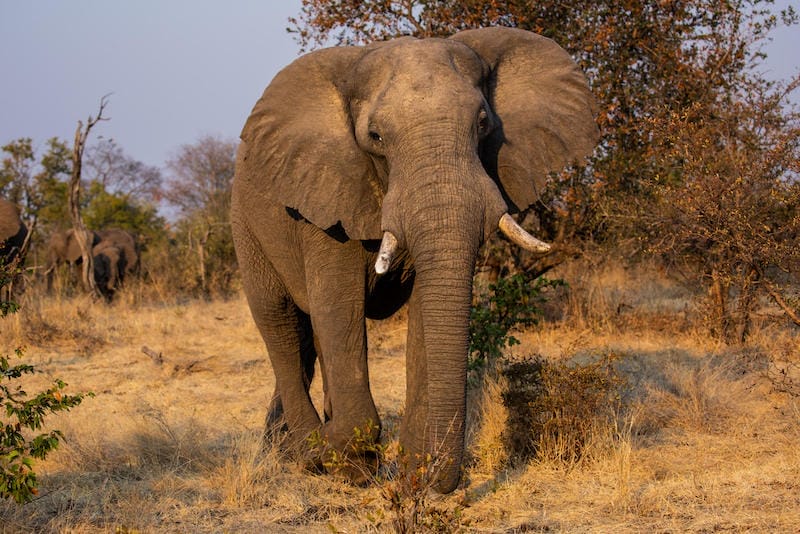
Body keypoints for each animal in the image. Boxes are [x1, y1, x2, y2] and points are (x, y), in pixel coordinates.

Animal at [228, 25, 596, 494]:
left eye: (483, 124)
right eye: (376, 138)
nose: (435, 477)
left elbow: (426, 309)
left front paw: (414, 475)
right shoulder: (327, 193)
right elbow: (337, 306)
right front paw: (349, 462)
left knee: (308, 339)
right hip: (246, 227)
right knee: (281, 324)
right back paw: (307, 454)